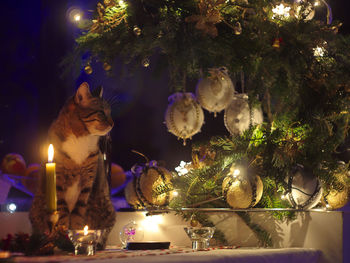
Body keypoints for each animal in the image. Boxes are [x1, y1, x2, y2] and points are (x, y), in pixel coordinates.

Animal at [29, 82, 116, 248]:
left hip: (106, 207)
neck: (82, 138)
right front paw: (64, 233)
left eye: (110, 112)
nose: (113, 123)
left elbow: (78, 212)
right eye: (101, 113)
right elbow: (62, 211)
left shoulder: (87, 180)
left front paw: (77, 234)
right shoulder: (59, 179)